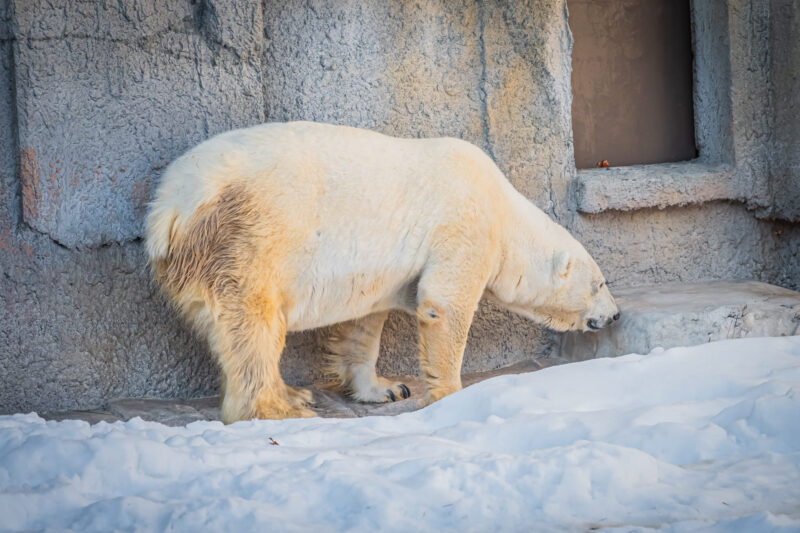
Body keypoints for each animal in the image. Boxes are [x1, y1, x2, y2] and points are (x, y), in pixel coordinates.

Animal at [145, 121, 620, 424]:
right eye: (600, 283)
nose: (615, 314)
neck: (504, 210)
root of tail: (169, 210)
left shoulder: (380, 271)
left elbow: (364, 322)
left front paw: (386, 388)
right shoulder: (463, 226)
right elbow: (444, 305)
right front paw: (451, 395)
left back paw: (292, 392)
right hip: (249, 237)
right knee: (254, 325)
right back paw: (280, 406)